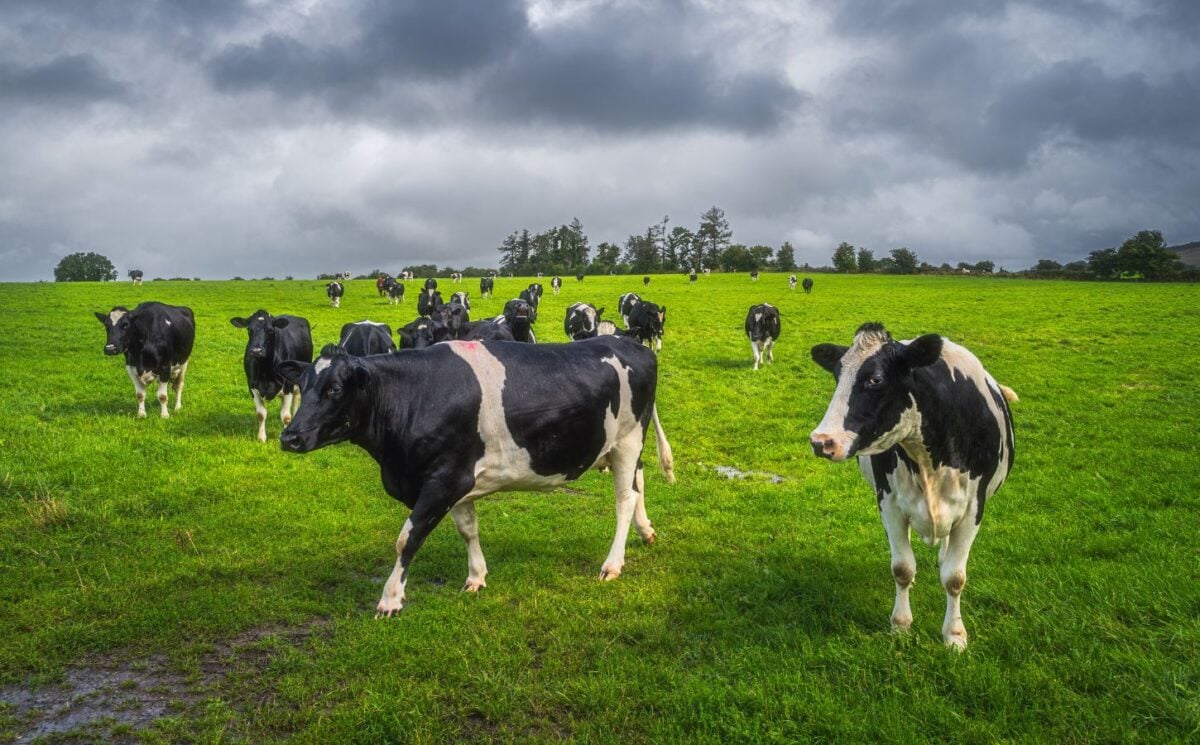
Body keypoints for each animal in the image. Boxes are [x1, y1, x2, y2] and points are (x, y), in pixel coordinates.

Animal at [229, 309, 312, 441]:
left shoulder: (288, 386)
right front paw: (261, 437)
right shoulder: (252, 387)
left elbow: (286, 417)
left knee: (297, 399)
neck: (265, 372)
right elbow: (261, 414)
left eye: (270, 331)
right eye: (249, 330)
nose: (256, 351)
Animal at [276, 335, 681, 614]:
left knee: (624, 499)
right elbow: (468, 528)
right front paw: (475, 577)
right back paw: (646, 531)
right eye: (301, 387)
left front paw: (390, 599)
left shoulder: (442, 480)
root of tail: (629, 342)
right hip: (620, 446)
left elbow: (407, 539)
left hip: (628, 438)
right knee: (639, 482)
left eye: (335, 389)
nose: (290, 436)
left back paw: (612, 564)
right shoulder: (457, 480)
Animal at [811, 321, 1017, 647]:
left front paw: (954, 634)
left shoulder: (974, 508)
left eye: (875, 379)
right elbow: (902, 568)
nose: (821, 441)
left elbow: (955, 577)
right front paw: (900, 624)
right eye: (837, 375)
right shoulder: (889, 504)